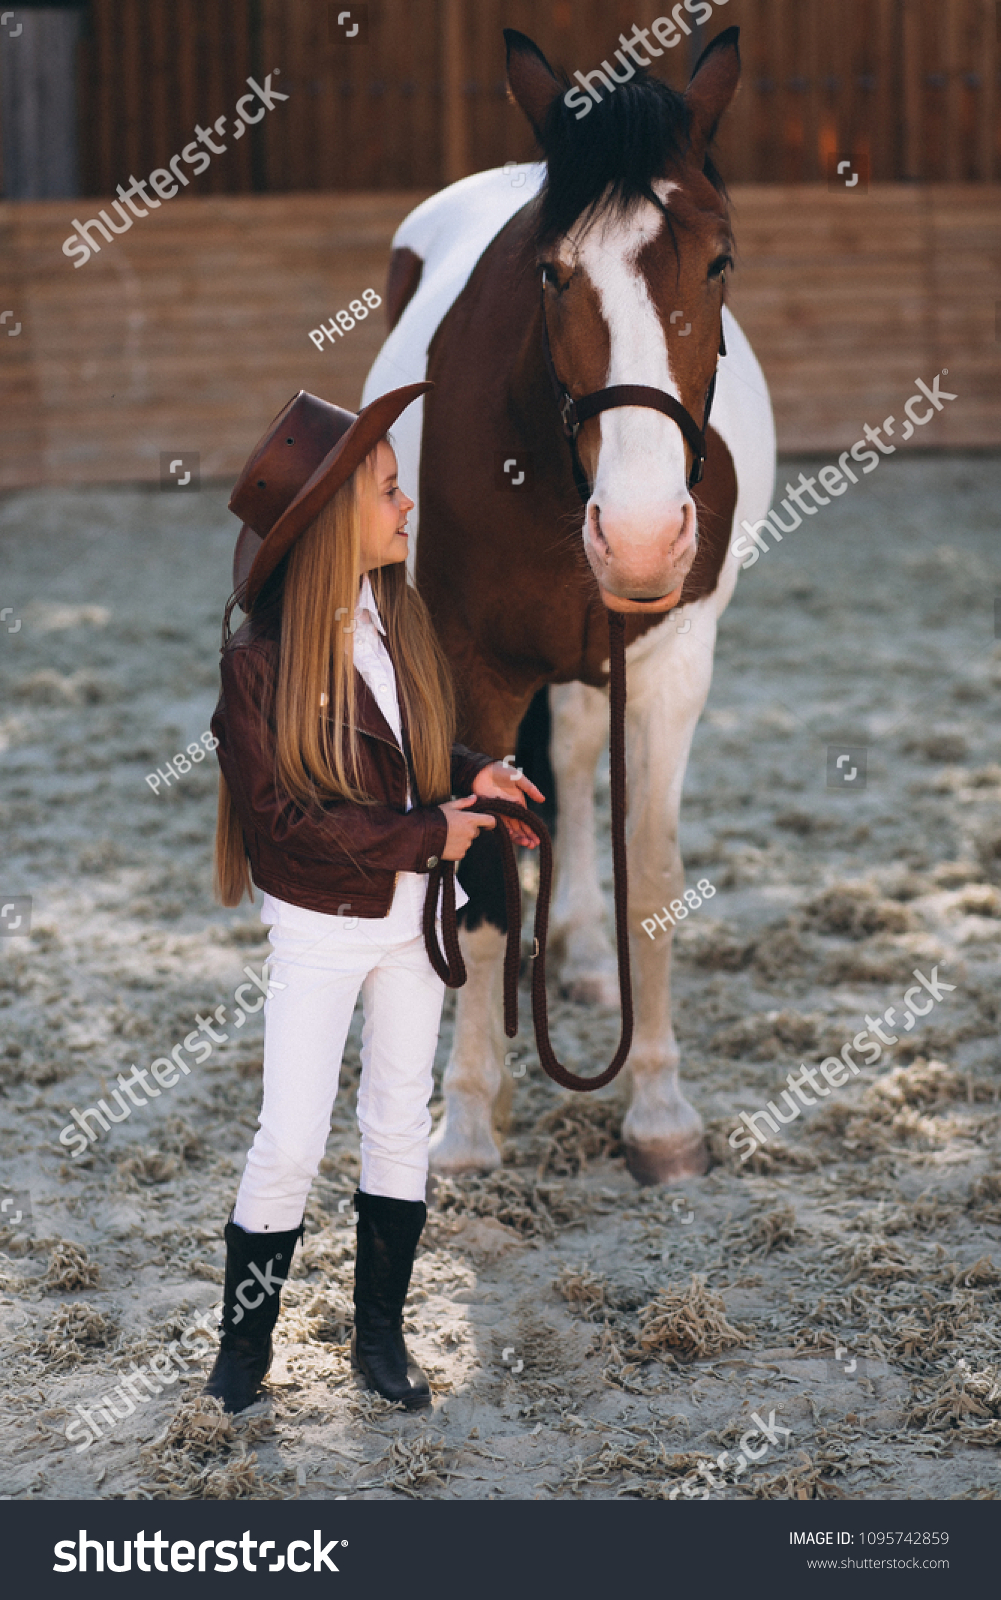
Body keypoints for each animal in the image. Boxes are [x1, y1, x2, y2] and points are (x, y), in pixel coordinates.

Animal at [362, 18, 777, 1184]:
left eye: (719, 259)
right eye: (550, 273)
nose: (637, 533)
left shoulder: (671, 666)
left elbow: (653, 881)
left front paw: (661, 1113)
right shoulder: (474, 671)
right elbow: (485, 882)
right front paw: (464, 1122)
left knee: (587, 768)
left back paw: (586, 953)